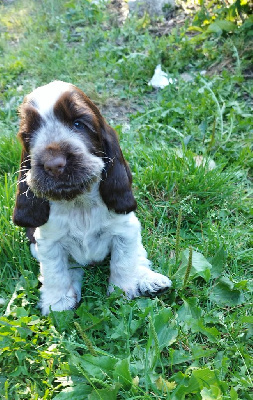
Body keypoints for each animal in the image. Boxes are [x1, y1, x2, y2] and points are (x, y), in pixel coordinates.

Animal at [12, 81, 172, 314]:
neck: (79, 203)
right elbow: (56, 273)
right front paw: (57, 303)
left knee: (138, 257)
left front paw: (123, 291)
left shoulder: (126, 230)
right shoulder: (48, 243)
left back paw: (149, 279)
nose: (54, 165)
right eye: (29, 134)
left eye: (78, 124)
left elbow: (124, 261)